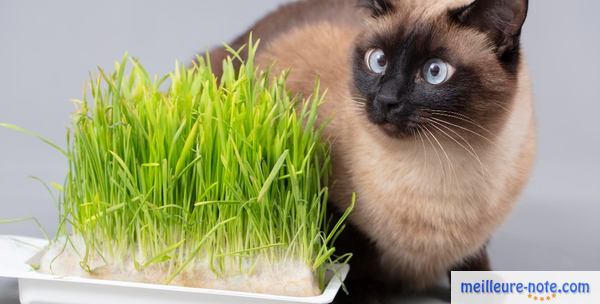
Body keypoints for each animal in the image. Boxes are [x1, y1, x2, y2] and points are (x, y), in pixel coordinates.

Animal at [207, 0, 536, 300]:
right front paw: (368, 295)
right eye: (377, 61)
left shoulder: (477, 235)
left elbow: (472, 262)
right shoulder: (338, 212)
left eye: (435, 71)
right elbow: (358, 258)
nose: (387, 100)